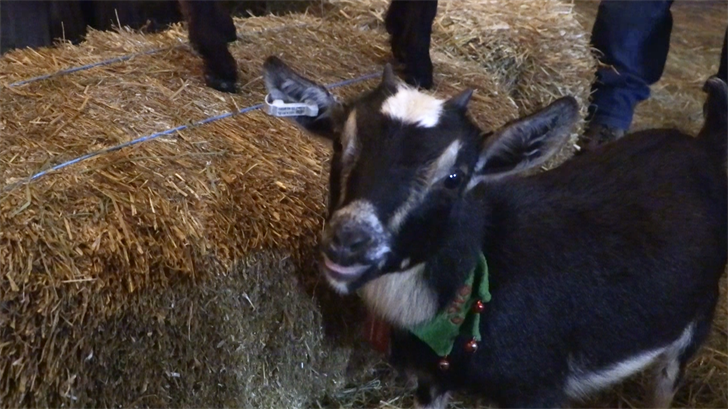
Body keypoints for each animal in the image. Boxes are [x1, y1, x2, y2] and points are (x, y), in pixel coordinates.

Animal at [263, 55, 728, 409]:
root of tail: (703, 146)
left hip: (698, 313)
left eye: (455, 176)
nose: (348, 241)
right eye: (341, 144)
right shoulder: (431, 380)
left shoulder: (538, 391)